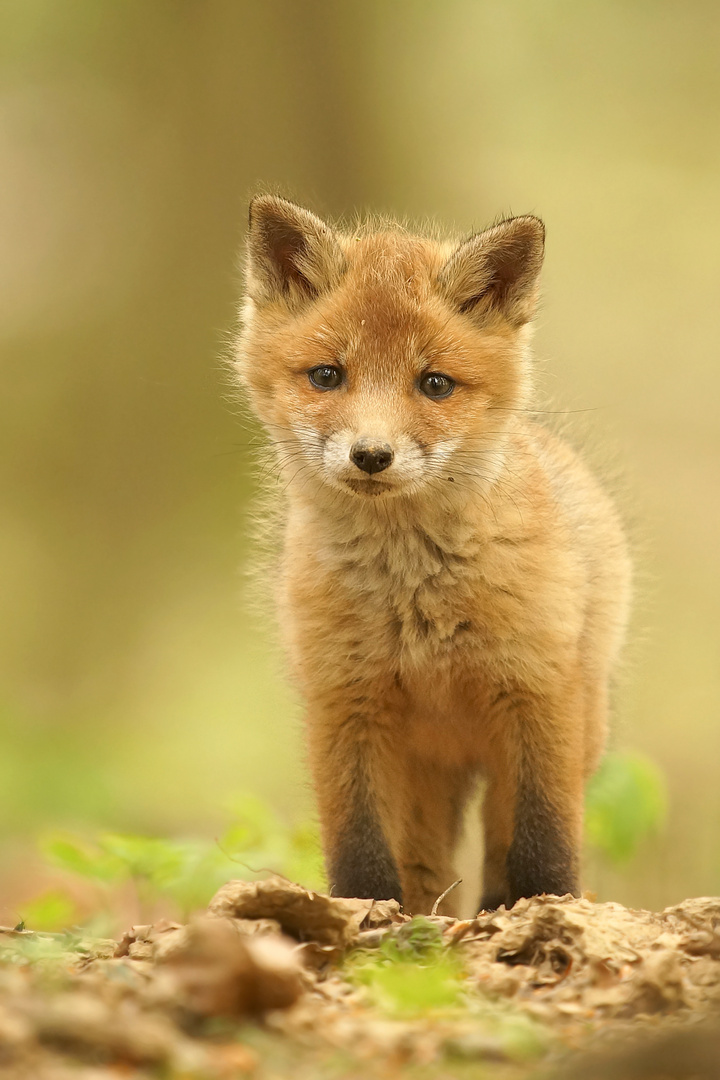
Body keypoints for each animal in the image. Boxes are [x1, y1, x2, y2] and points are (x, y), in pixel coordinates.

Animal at [235, 194, 630, 911]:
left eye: (436, 384)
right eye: (327, 375)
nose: (371, 455)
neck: (415, 596)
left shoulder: (538, 692)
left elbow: (543, 840)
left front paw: (543, 911)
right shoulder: (344, 704)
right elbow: (360, 847)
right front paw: (371, 917)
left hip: (565, 729)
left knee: (501, 841)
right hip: (422, 771)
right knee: (428, 864)